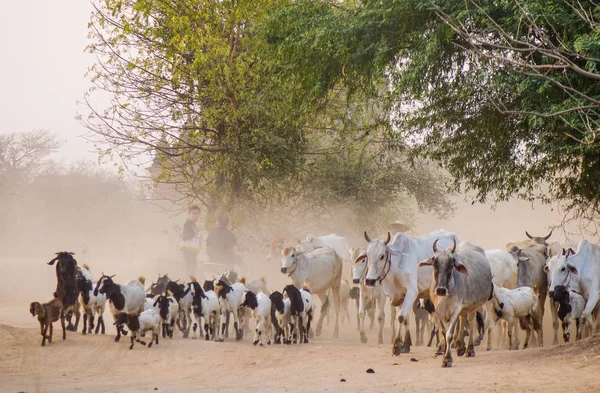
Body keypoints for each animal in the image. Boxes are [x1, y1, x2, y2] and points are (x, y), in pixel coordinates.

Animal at [420, 239, 494, 368]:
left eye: (451, 265)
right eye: (434, 264)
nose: (440, 290)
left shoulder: (456, 309)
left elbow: (449, 334)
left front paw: (447, 359)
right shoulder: (439, 311)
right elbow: (444, 333)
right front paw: (444, 353)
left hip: (473, 306)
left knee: (471, 322)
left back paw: (469, 349)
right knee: (463, 318)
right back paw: (460, 346)